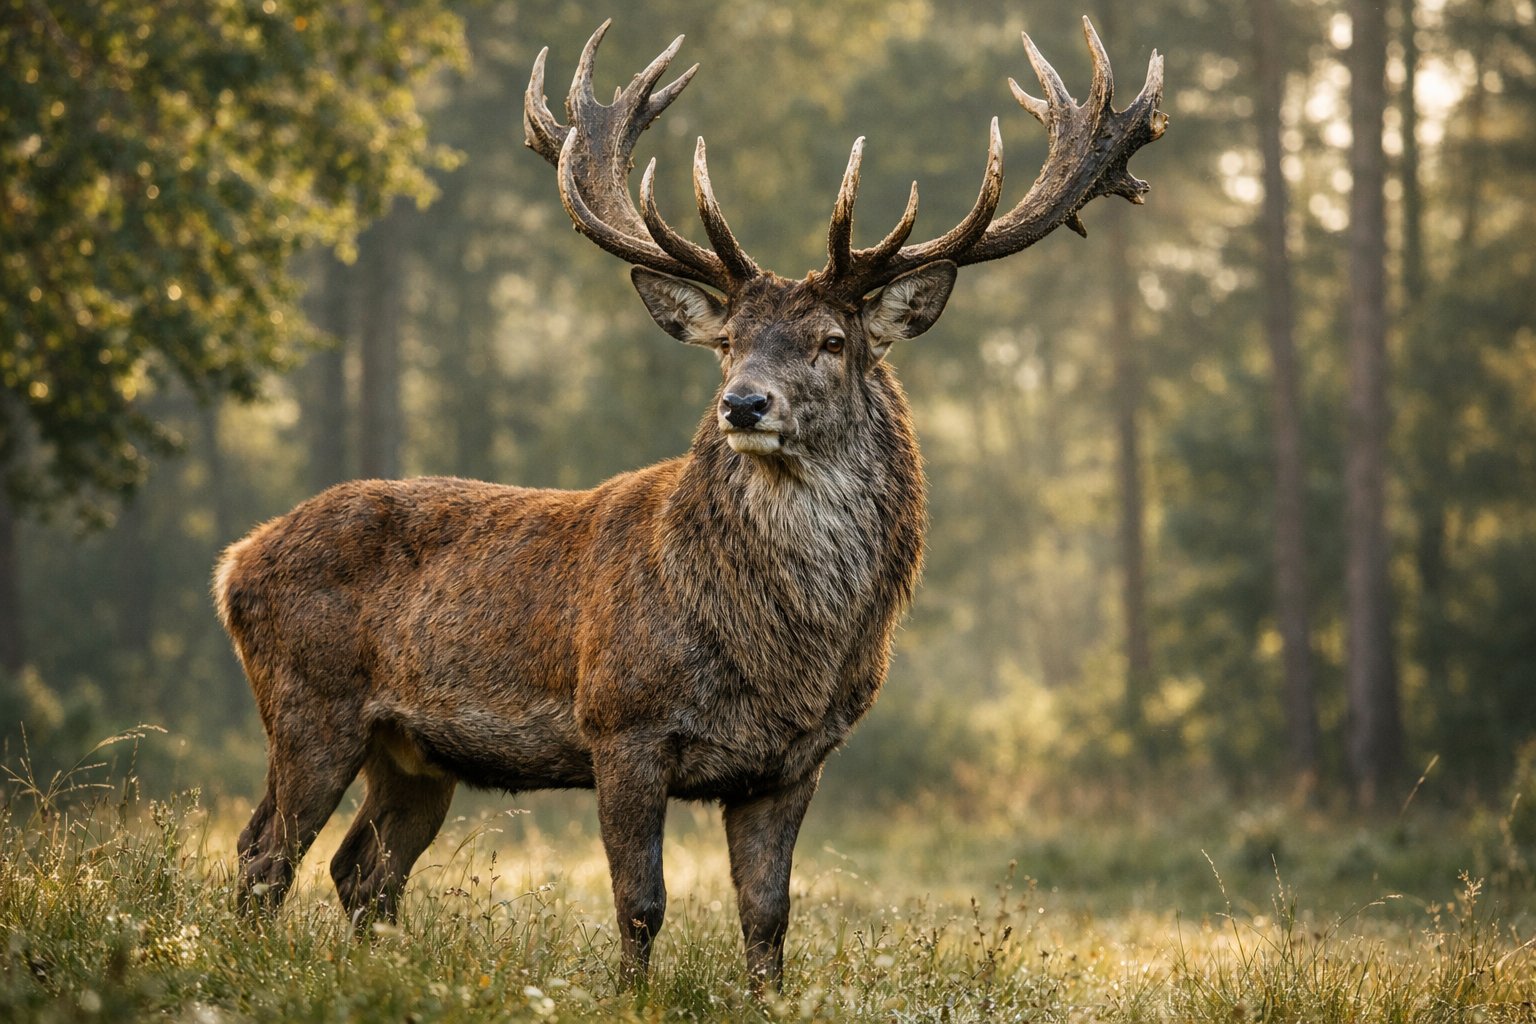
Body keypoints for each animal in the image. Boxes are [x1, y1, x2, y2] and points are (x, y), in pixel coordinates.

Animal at [214, 16, 1165, 989]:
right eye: (729, 342)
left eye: (831, 341)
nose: (743, 404)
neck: (783, 653)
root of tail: (235, 562)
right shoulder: (622, 723)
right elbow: (642, 904)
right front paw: (631, 997)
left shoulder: (794, 761)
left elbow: (769, 915)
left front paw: (770, 997)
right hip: (310, 702)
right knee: (263, 855)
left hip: (415, 754)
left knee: (360, 869)